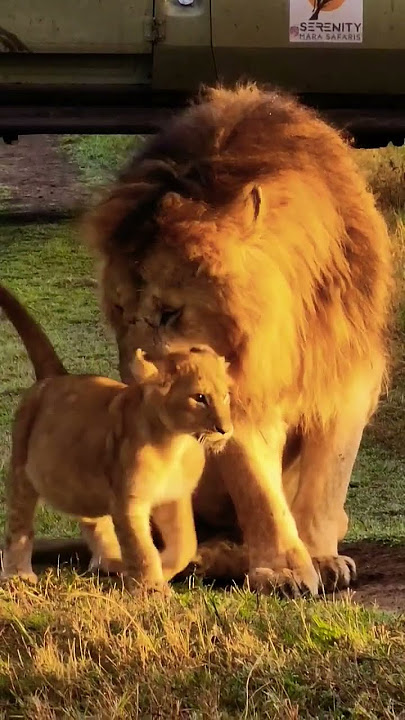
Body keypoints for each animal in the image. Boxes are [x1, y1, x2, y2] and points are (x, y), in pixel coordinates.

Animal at [0, 284, 233, 591]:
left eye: (225, 395)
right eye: (199, 398)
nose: (225, 429)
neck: (177, 445)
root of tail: (54, 377)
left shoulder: (174, 497)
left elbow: (186, 543)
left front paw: (165, 569)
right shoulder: (129, 502)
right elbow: (141, 548)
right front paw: (151, 588)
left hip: (81, 485)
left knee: (93, 521)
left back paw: (111, 563)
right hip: (23, 472)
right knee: (19, 524)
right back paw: (18, 574)